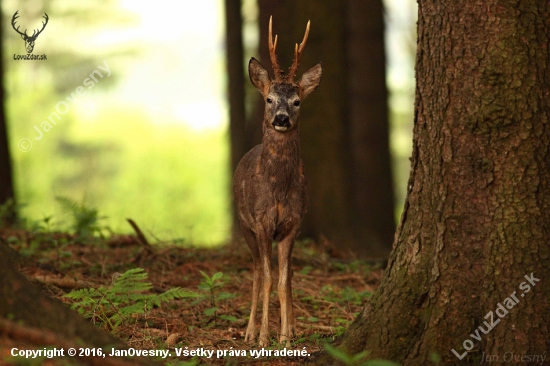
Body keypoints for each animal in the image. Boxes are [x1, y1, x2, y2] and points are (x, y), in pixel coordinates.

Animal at [233, 17, 324, 348]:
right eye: (269, 99)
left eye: (297, 101)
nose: (282, 118)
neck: (278, 189)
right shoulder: (261, 222)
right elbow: (269, 278)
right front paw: (262, 337)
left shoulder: (293, 223)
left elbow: (285, 279)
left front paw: (286, 336)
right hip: (244, 224)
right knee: (257, 272)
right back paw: (248, 332)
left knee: (289, 273)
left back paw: (292, 329)